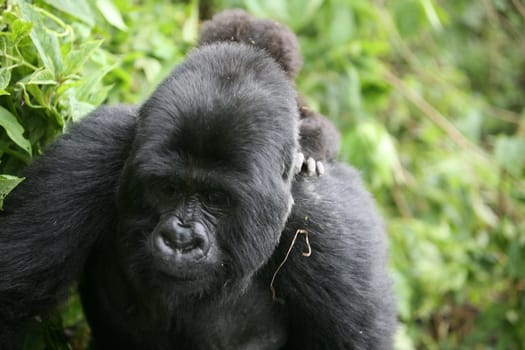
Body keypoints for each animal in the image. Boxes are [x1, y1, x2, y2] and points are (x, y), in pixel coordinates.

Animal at [0, 9, 392, 348]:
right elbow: (11, 297)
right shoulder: (90, 152)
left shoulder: (330, 229)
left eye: (218, 199)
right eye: (168, 189)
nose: (180, 239)